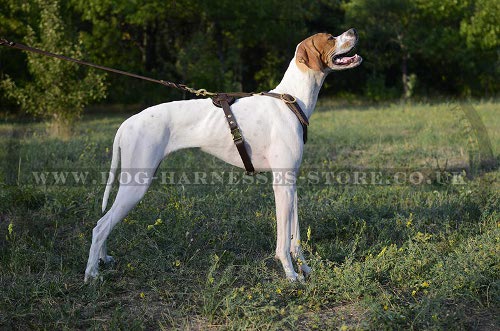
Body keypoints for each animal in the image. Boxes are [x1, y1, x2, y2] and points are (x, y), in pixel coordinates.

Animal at [84, 29, 362, 282]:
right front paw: (291, 275)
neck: (290, 99)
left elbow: (296, 236)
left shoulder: (290, 183)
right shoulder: (281, 184)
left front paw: (304, 268)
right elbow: (283, 241)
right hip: (135, 185)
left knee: (105, 223)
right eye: (330, 37)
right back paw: (92, 275)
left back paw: (103, 259)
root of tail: (127, 122)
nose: (353, 31)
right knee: (100, 227)